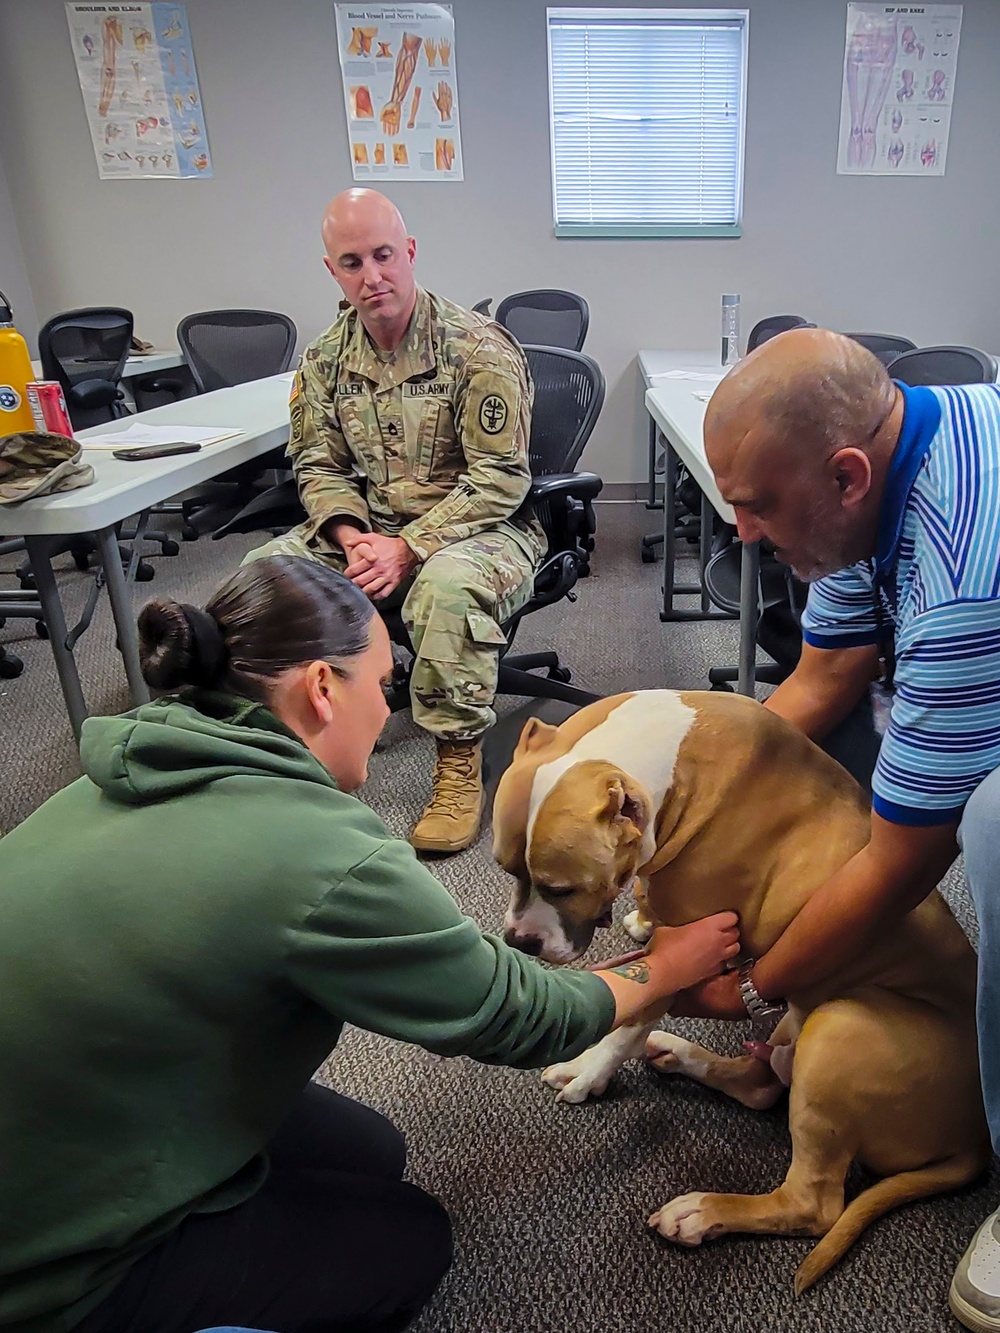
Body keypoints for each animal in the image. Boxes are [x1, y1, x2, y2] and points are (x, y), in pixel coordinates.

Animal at [490, 687, 992, 1290]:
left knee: (814, 1204)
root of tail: (976, 1135)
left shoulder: (687, 945)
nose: (518, 941)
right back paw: (679, 1054)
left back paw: (702, 1211)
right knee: (760, 1086)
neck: (670, 762)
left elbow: (632, 1021)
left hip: (841, 1024)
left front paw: (590, 1071)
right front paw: (638, 922)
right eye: (505, 869)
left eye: (562, 888)